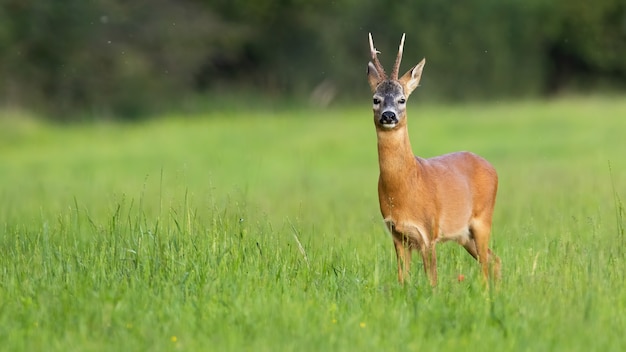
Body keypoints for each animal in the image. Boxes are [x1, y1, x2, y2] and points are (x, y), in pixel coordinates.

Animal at [368, 33, 500, 286]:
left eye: (402, 99)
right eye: (375, 99)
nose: (388, 115)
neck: (405, 185)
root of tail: (491, 167)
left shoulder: (428, 232)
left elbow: (433, 280)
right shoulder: (396, 234)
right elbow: (402, 279)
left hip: (483, 219)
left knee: (486, 265)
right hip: (464, 234)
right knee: (493, 259)